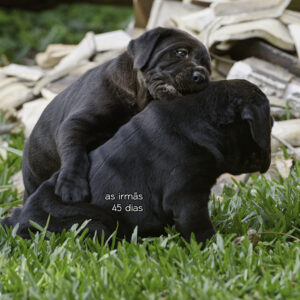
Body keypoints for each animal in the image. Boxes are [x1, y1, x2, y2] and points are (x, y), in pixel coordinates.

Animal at [2, 80, 274, 244]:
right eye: (270, 124)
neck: (206, 119)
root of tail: (19, 221)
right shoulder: (187, 196)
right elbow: (198, 226)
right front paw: (215, 244)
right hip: (93, 223)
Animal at [22, 27, 211, 204]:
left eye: (207, 67)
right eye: (181, 53)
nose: (201, 76)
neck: (138, 97)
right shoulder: (75, 124)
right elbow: (74, 153)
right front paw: (72, 185)